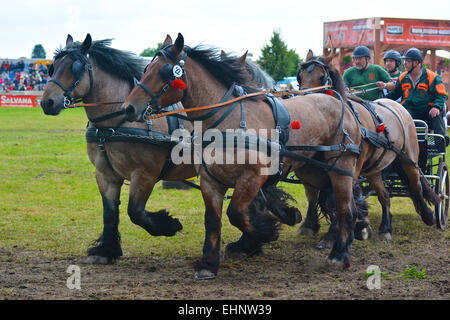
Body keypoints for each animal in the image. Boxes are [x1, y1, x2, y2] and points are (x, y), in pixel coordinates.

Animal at [123, 32, 366, 278]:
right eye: (147, 69)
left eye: (163, 72)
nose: (129, 108)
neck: (227, 120)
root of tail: (340, 101)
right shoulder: (210, 181)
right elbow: (213, 221)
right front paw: (209, 263)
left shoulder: (253, 177)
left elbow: (237, 213)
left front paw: (266, 231)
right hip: (314, 171)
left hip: (341, 170)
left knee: (346, 209)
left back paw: (339, 254)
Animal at [298, 50, 438, 242]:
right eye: (300, 76)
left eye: (322, 77)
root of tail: (399, 108)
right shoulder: (312, 168)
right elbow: (312, 195)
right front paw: (309, 225)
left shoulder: (347, 169)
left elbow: (337, 199)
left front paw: (334, 235)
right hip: (375, 167)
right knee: (384, 195)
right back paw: (385, 228)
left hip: (409, 160)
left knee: (416, 186)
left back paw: (429, 216)